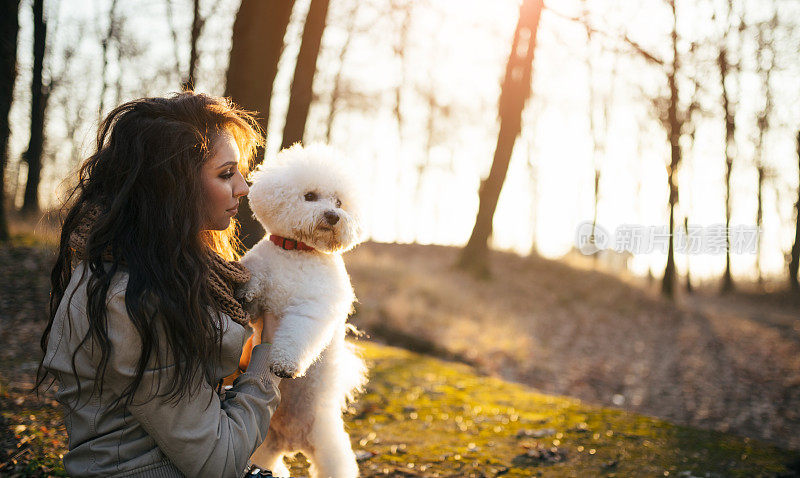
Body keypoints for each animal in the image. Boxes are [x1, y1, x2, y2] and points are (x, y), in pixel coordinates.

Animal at [241, 145, 368, 478]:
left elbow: (297, 335)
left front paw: (284, 364)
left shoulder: (313, 309)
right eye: (310, 196)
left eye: (339, 202)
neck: (298, 250)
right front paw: (249, 288)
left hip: (328, 445)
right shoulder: (261, 288)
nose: (333, 216)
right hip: (263, 446)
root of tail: (291, 441)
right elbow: (255, 279)